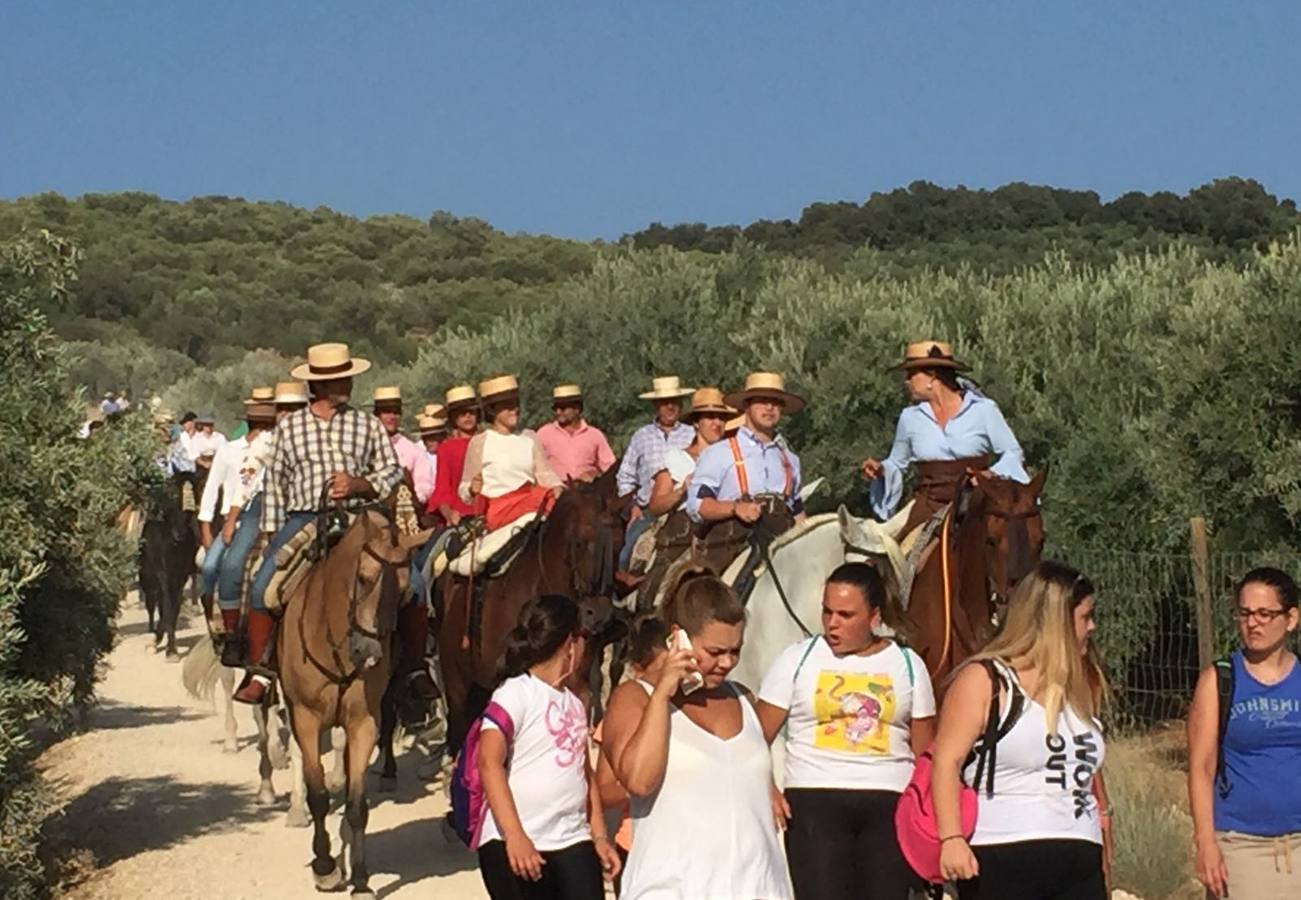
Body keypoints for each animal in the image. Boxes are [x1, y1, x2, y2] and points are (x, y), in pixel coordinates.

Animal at [278, 502, 429, 894]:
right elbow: (318, 795)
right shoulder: (306, 718)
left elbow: (358, 803)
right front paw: (325, 867)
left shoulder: (363, 722)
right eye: (362, 578)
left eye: (404, 590)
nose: (370, 654)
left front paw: (360, 879)